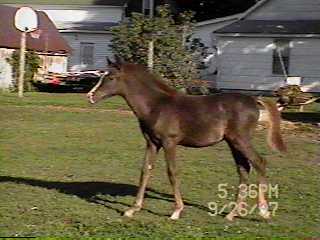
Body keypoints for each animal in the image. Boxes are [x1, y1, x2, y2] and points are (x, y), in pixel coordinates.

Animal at [87, 58, 284, 221]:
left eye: (111, 78)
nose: (90, 96)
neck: (157, 106)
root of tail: (253, 100)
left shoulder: (169, 143)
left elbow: (172, 172)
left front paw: (176, 211)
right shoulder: (152, 143)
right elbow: (145, 171)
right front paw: (132, 209)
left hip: (241, 140)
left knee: (259, 162)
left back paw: (263, 211)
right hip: (232, 143)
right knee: (243, 169)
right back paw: (232, 214)